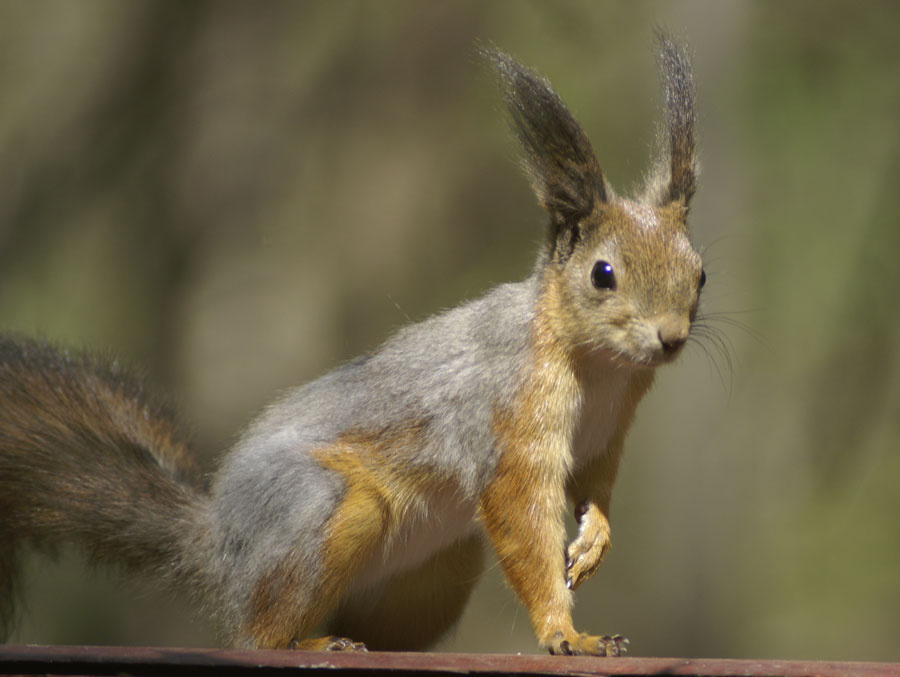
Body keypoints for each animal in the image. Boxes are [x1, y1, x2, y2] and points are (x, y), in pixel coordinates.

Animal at [0, 34, 703, 656]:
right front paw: (567, 634)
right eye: (603, 274)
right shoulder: (508, 420)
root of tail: (218, 545)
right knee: (257, 633)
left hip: (436, 572)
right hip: (320, 507)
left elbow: (595, 490)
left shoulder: (605, 437)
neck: (597, 367)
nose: (671, 338)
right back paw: (312, 640)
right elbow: (522, 521)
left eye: (699, 272)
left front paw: (593, 542)